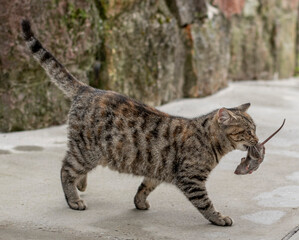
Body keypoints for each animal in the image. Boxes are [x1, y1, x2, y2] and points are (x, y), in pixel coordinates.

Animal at [21, 19, 260, 226]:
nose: (258, 140)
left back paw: (82, 184)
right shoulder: (191, 180)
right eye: (248, 132)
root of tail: (88, 88)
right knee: (66, 170)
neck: (209, 141)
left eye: (255, 130)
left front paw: (140, 202)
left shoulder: (156, 169)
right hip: (86, 150)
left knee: (73, 169)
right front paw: (219, 218)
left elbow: (145, 186)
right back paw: (73, 199)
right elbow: (205, 203)